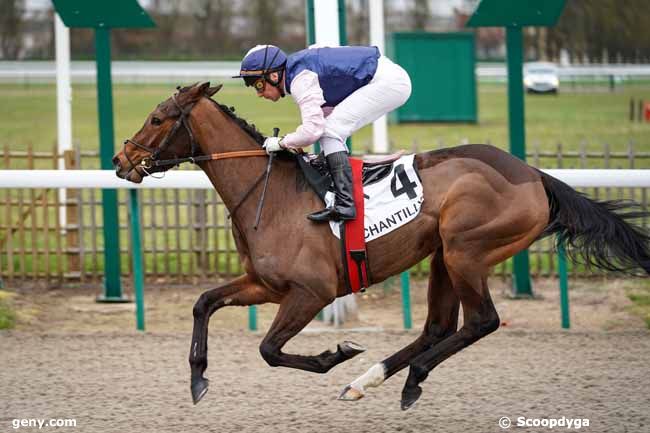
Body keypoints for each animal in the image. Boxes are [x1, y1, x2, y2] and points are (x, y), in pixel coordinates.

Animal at [114, 82, 648, 410]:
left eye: (157, 118)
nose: (121, 160)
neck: (271, 192)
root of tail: (534, 174)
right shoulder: (263, 284)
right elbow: (204, 303)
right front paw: (198, 378)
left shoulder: (311, 292)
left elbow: (268, 349)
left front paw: (334, 354)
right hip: (443, 256)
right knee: (437, 327)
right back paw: (366, 381)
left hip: (466, 250)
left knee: (481, 321)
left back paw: (408, 378)